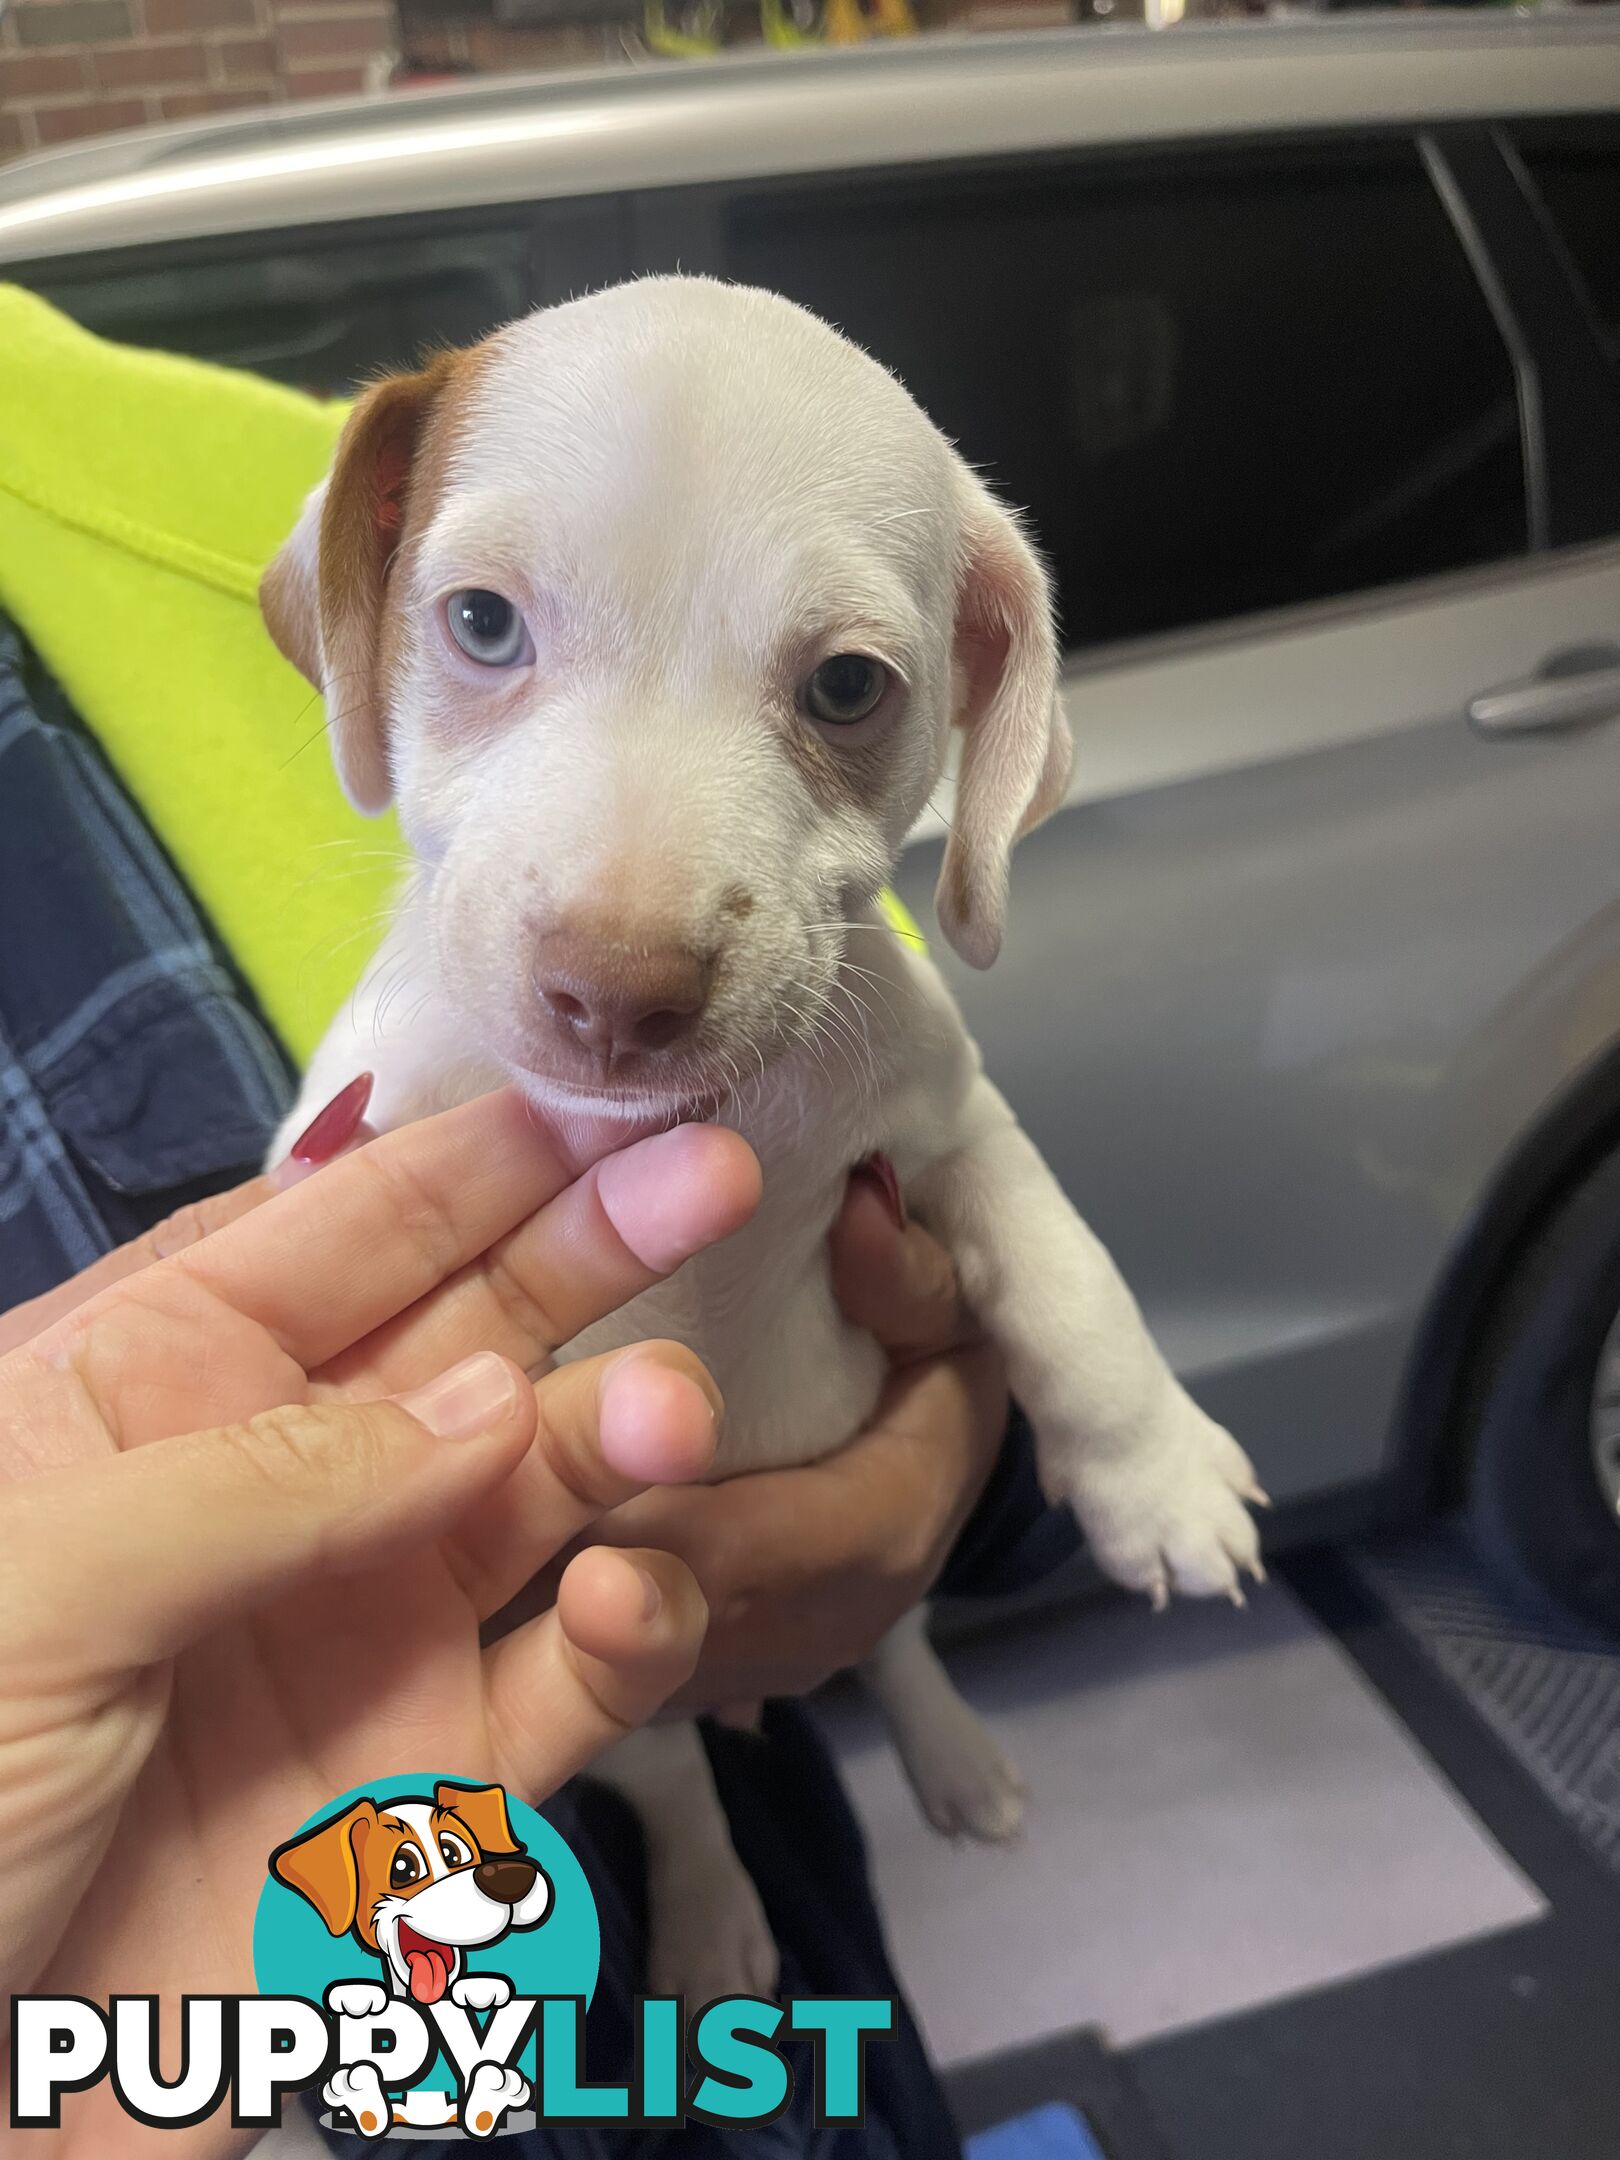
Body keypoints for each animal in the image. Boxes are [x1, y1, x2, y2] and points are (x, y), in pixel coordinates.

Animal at [263, 278, 1270, 1995]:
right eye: (481, 623)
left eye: (849, 687)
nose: (614, 989)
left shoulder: (949, 1132)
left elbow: (1071, 1285)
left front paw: (1159, 1477)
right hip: (628, 1702)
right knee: (676, 1787)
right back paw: (714, 1926)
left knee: (897, 1640)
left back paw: (952, 1761)